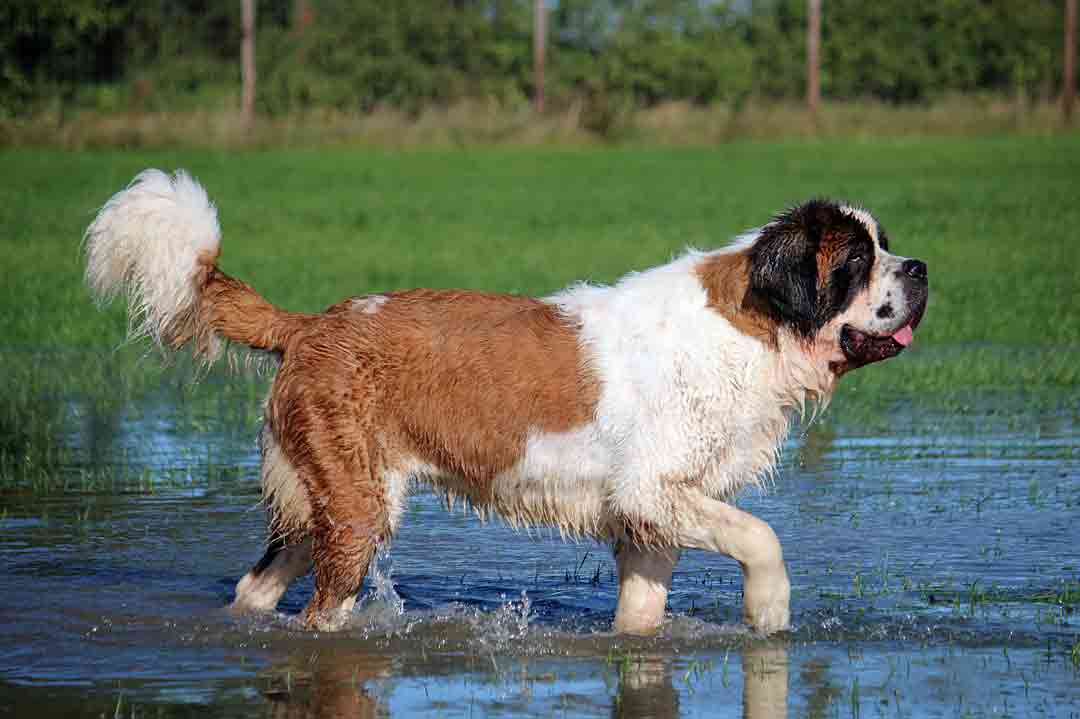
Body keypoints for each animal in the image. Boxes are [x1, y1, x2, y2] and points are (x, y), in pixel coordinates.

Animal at [86, 168, 928, 634]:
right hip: (357, 511)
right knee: (323, 609)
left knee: (257, 585)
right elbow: (762, 537)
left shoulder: (649, 519)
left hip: (324, 503)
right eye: (857, 262)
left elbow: (641, 612)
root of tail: (312, 322)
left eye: (886, 245)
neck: (755, 325)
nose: (919, 267)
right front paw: (770, 615)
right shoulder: (654, 489)